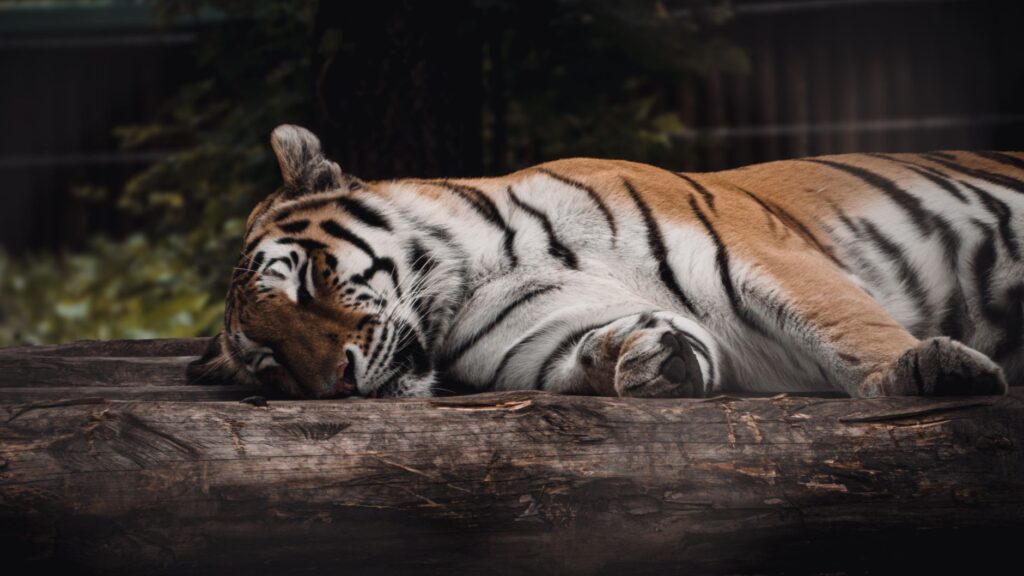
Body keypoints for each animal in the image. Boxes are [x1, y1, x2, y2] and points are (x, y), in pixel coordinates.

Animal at [187, 124, 1021, 400]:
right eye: (269, 362)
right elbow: (584, 355)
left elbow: (848, 326)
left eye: (303, 281)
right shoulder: (538, 338)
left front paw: (924, 371)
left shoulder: (764, 255)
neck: (477, 276)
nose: (336, 381)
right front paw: (643, 355)